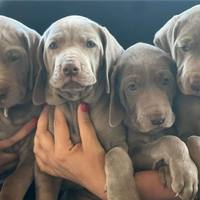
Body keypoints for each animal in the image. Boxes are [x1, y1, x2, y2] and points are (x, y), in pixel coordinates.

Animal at [32, 15, 141, 200]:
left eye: (90, 44)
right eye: (53, 45)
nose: (69, 67)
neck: (75, 101)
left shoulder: (118, 142)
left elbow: (116, 156)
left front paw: (122, 193)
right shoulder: (44, 165)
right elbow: (45, 191)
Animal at [109, 42, 198, 200]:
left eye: (166, 81)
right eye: (132, 86)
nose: (158, 119)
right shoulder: (134, 151)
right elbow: (168, 140)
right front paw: (186, 171)